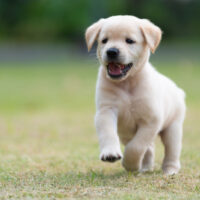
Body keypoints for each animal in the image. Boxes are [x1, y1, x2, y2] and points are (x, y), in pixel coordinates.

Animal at [85, 15, 186, 175]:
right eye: (104, 40)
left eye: (129, 41)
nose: (111, 51)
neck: (127, 83)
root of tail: (177, 90)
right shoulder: (106, 111)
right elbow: (108, 132)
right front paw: (110, 153)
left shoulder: (151, 120)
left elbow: (136, 146)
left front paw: (130, 164)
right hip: (126, 134)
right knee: (149, 149)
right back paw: (145, 167)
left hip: (173, 128)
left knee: (171, 150)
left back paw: (170, 170)